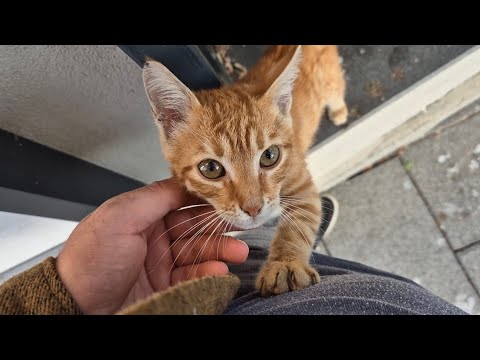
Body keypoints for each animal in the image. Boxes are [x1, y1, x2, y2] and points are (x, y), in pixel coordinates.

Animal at [142, 44, 348, 296]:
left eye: (270, 156)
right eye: (211, 168)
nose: (254, 208)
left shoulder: (302, 185)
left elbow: (298, 224)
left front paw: (286, 265)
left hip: (330, 81)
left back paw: (339, 112)